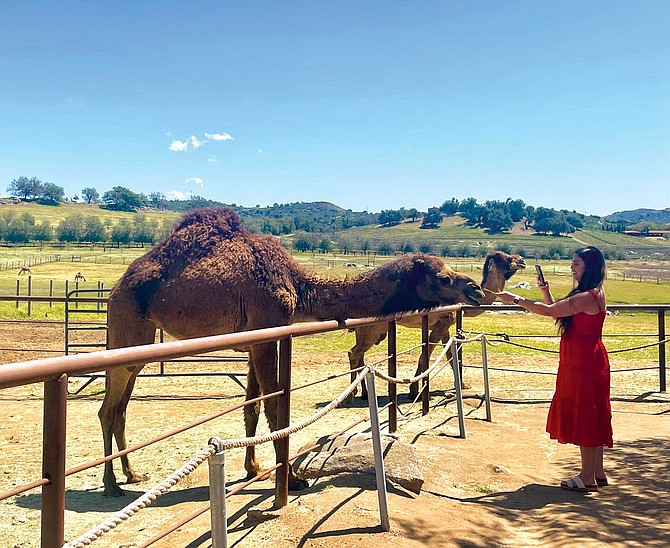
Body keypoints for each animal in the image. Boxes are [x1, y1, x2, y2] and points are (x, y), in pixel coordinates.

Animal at [100, 207, 486, 496]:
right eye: (444, 278)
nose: (477, 290)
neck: (299, 288)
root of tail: (119, 285)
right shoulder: (266, 333)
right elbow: (274, 408)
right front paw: (293, 479)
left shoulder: (254, 341)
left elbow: (252, 408)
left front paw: (253, 468)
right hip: (125, 322)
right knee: (107, 408)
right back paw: (111, 484)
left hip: (140, 340)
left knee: (121, 406)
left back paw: (132, 474)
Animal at [349, 250, 526, 400]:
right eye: (508, 258)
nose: (522, 260)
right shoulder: (442, 324)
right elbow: (425, 356)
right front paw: (414, 391)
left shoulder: (444, 326)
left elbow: (449, 355)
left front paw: (462, 384)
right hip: (371, 328)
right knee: (354, 352)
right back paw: (353, 394)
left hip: (367, 329)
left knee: (359, 354)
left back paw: (364, 393)